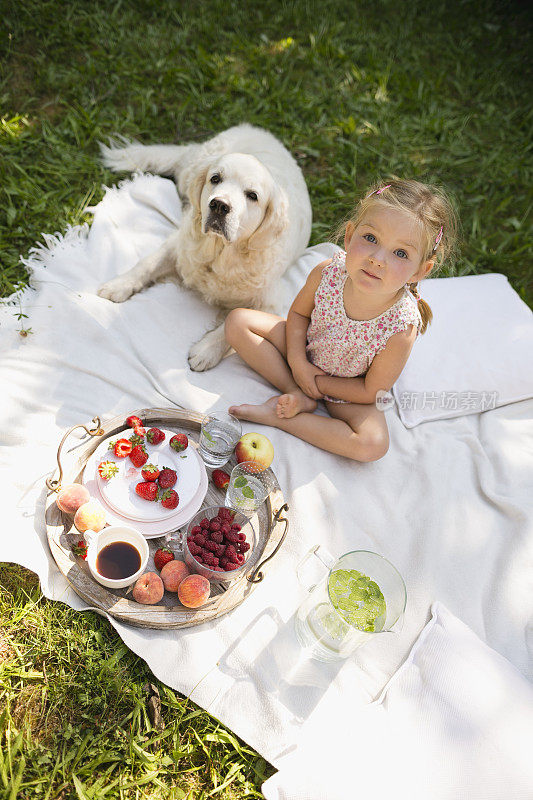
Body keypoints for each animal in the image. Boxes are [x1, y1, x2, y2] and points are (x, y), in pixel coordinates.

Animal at [98, 126, 312, 372]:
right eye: (215, 178)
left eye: (252, 196)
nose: (219, 205)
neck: (220, 254)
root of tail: (256, 129)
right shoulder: (178, 246)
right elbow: (147, 263)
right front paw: (118, 285)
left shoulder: (271, 302)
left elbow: (233, 321)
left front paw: (205, 351)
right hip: (191, 170)